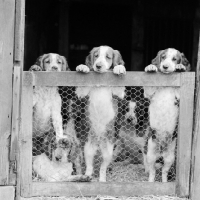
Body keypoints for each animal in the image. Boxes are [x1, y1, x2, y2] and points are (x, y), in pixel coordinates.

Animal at [76, 45, 126, 181]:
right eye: (96, 56)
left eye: (108, 57)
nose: (98, 66)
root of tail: (98, 140)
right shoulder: (83, 92)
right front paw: (83, 67)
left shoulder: (118, 93)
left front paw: (119, 68)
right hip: (88, 148)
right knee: (90, 166)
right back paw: (87, 176)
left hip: (108, 152)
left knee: (102, 168)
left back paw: (102, 180)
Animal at [143, 47, 190, 182]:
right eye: (163, 57)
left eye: (175, 59)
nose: (164, 66)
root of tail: (161, 150)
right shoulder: (150, 92)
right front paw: (151, 67)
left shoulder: (179, 94)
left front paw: (180, 66)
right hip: (150, 154)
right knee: (152, 171)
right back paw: (150, 182)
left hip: (170, 158)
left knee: (164, 172)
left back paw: (164, 183)